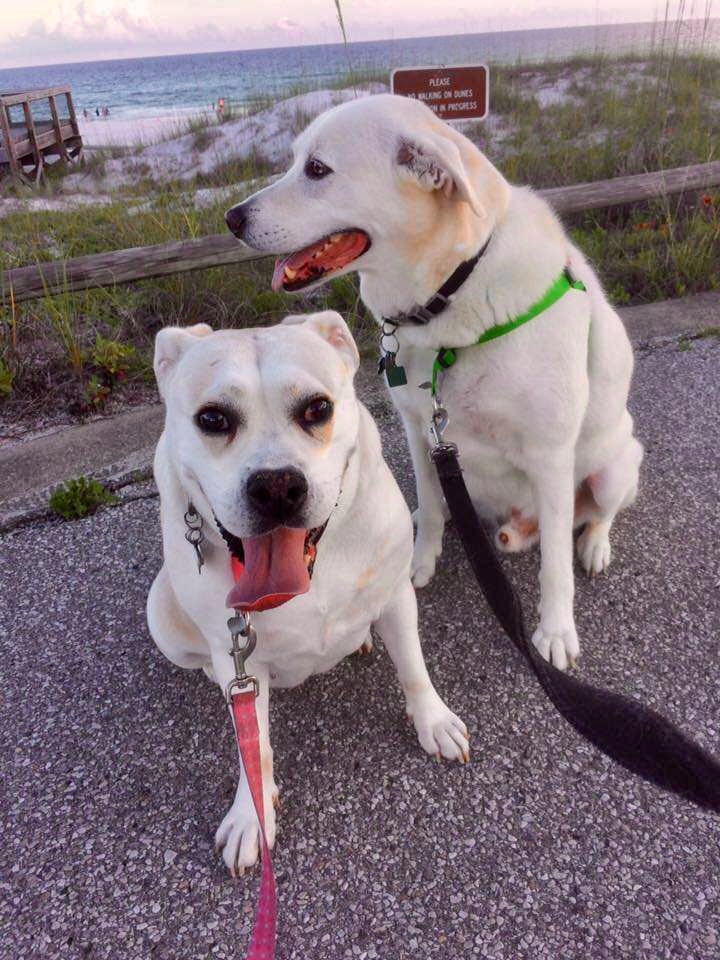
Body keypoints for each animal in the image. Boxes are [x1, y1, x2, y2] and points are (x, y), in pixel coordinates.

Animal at [149, 312, 470, 872]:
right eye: (212, 418)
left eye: (318, 408)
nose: (276, 485)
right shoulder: (239, 659)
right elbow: (254, 747)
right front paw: (251, 817)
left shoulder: (394, 596)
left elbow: (413, 668)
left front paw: (434, 722)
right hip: (160, 613)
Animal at [228, 94, 644, 672]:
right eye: (294, 162)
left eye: (317, 170)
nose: (231, 218)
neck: (452, 290)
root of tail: (519, 526)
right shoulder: (420, 429)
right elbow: (427, 497)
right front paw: (420, 557)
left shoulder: (551, 454)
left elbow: (556, 564)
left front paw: (557, 630)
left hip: (612, 467)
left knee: (595, 516)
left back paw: (596, 545)